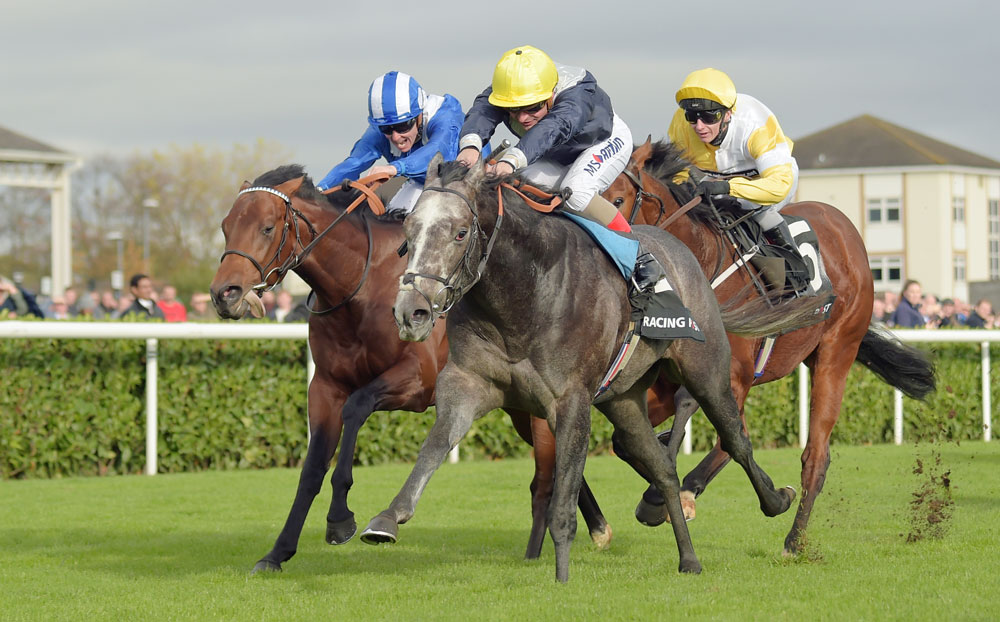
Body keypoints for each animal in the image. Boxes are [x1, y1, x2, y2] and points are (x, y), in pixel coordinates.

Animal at [211, 166, 608, 576]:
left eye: (267, 227)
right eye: (226, 226)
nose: (224, 293)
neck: (360, 288)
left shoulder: (417, 381)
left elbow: (356, 407)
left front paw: (339, 520)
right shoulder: (325, 386)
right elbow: (311, 468)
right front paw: (277, 552)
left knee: (546, 476)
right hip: (520, 407)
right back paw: (590, 531)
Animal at [360, 154, 796, 584]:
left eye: (460, 233)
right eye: (409, 231)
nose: (411, 312)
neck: (523, 294)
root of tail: (682, 250)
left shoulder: (570, 401)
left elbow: (563, 504)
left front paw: (562, 580)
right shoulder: (468, 382)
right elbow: (434, 447)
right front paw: (387, 519)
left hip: (707, 373)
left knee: (736, 440)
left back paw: (777, 501)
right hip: (623, 399)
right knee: (663, 469)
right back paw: (687, 556)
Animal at [600, 140, 936, 556]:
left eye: (618, 198)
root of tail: (845, 228)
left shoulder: (732, 375)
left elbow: (698, 414)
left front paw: (660, 496)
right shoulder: (662, 381)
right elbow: (625, 442)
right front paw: (662, 488)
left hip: (836, 353)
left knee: (814, 456)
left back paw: (794, 538)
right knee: (734, 438)